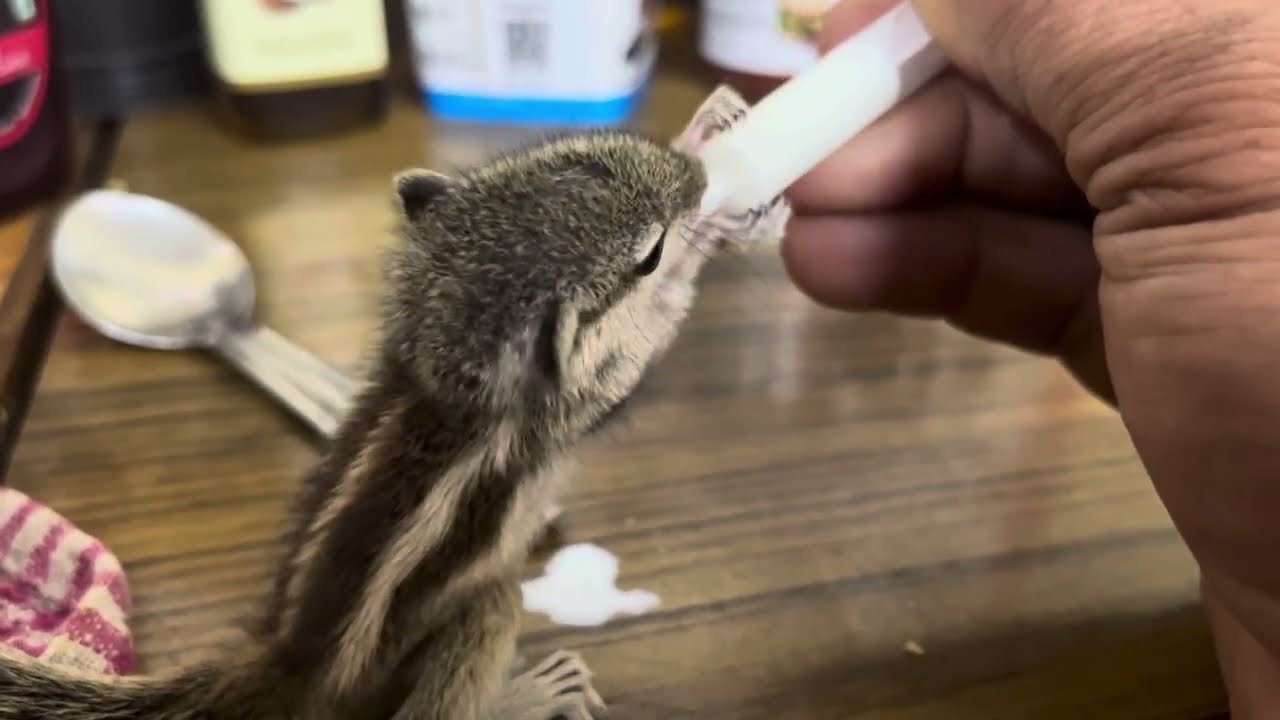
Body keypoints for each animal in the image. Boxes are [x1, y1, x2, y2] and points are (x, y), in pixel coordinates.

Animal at [0, 86, 789, 720]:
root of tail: (292, 665)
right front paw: (717, 224)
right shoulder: (579, 396)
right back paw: (528, 696)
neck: (439, 373)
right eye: (646, 254)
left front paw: (707, 134)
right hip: (480, 611)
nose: (697, 179)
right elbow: (657, 327)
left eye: (586, 151)